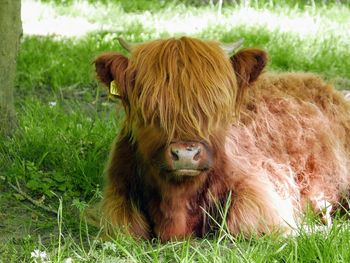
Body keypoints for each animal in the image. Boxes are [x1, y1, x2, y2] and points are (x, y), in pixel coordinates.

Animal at [93, 36, 350, 241]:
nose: (185, 154)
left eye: (215, 107)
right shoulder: (116, 195)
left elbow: (244, 221)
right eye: (151, 108)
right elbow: (122, 227)